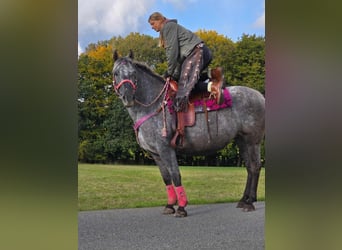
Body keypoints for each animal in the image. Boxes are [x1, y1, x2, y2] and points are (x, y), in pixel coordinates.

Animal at [112, 50, 264, 217]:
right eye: (115, 73)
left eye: (133, 73)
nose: (127, 97)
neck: (154, 105)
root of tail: (260, 96)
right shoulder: (155, 153)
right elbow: (166, 178)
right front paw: (170, 205)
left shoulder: (166, 149)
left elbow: (175, 175)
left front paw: (181, 207)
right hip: (242, 141)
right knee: (249, 167)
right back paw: (244, 200)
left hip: (253, 141)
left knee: (255, 167)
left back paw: (249, 203)